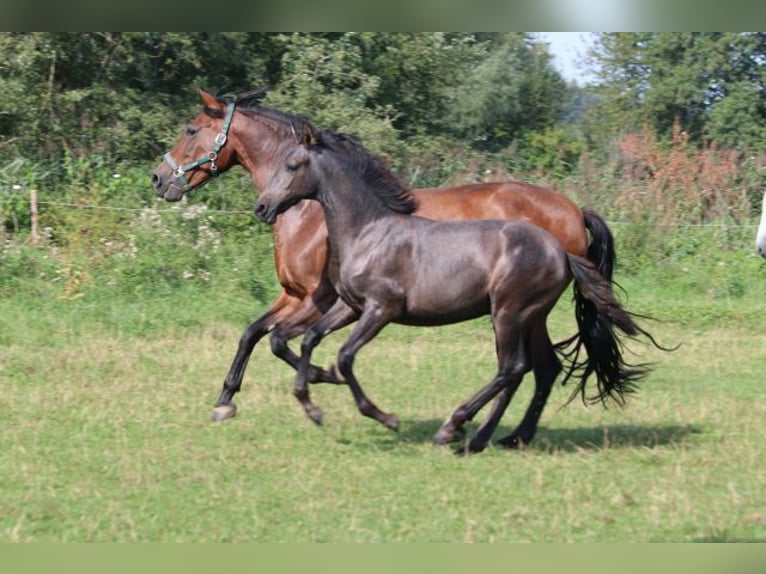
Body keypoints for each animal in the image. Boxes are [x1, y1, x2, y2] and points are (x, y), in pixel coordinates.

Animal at [153, 89, 620, 424]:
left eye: (191, 130)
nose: (158, 179)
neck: (309, 211)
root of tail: (574, 209)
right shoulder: (293, 294)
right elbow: (252, 334)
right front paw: (225, 401)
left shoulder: (319, 298)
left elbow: (280, 341)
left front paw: (325, 378)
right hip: (526, 313)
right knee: (543, 369)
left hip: (517, 311)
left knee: (527, 368)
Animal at [255, 126, 656, 454]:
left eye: (292, 165)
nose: (262, 207)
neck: (369, 232)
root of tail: (561, 251)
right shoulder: (350, 307)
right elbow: (308, 339)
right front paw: (312, 406)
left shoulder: (381, 309)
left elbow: (344, 356)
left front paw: (386, 418)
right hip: (532, 316)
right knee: (541, 368)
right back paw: (504, 438)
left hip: (508, 312)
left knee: (512, 368)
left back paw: (457, 429)